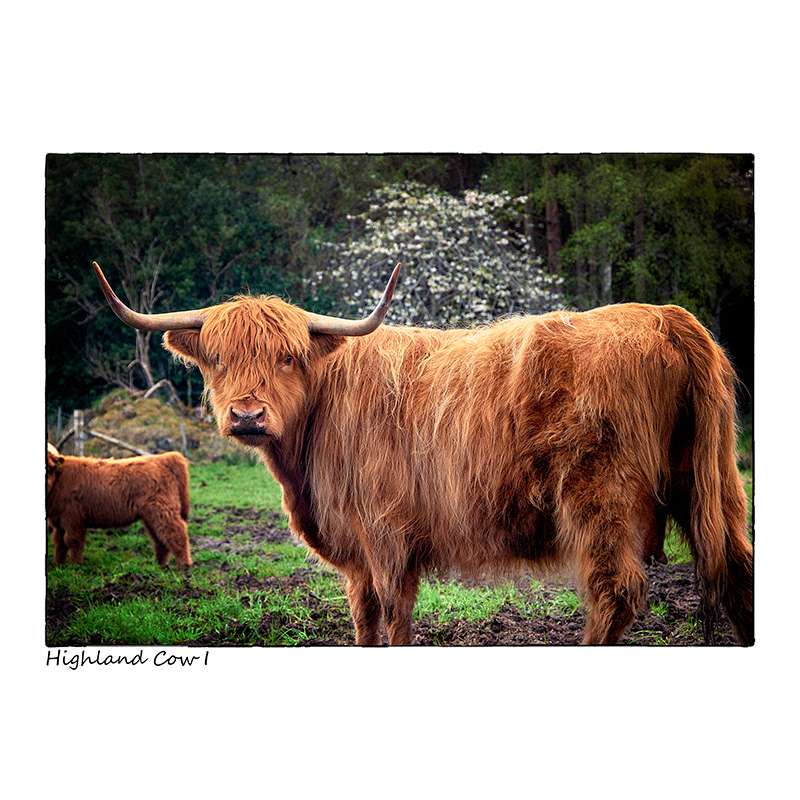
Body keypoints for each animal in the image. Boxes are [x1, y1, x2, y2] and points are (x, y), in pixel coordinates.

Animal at [46, 442, 193, 568]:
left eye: (49, 467)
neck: (58, 480)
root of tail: (162, 458)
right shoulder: (59, 521)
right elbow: (59, 542)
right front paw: (57, 564)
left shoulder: (73, 518)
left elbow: (72, 541)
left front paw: (75, 565)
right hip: (151, 516)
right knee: (159, 539)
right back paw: (159, 565)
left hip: (162, 511)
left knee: (176, 533)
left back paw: (184, 566)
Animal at [93, 260, 753, 645]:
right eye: (218, 358)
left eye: (287, 356)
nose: (248, 415)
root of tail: (667, 317)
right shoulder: (360, 551)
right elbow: (365, 620)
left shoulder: (386, 534)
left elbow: (394, 618)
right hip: (714, 482)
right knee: (737, 572)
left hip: (601, 496)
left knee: (615, 592)